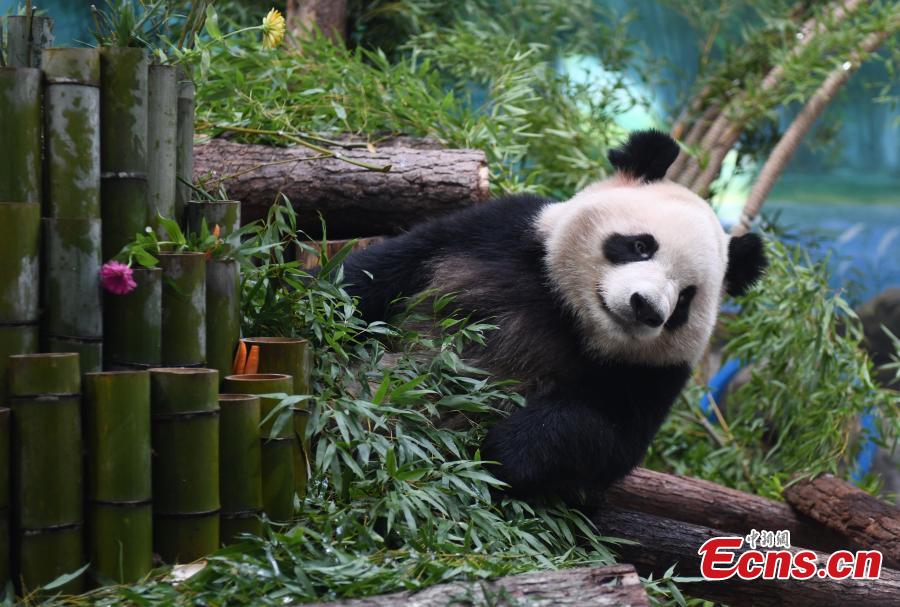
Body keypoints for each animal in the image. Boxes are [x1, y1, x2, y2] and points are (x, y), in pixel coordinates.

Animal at [342, 130, 767, 502]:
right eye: (641, 246)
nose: (647, 308)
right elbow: (390, 267)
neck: (571, 315)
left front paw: (505, 448)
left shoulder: (657, 374)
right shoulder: (504, 230)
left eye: (685, 299)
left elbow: (607, 436)